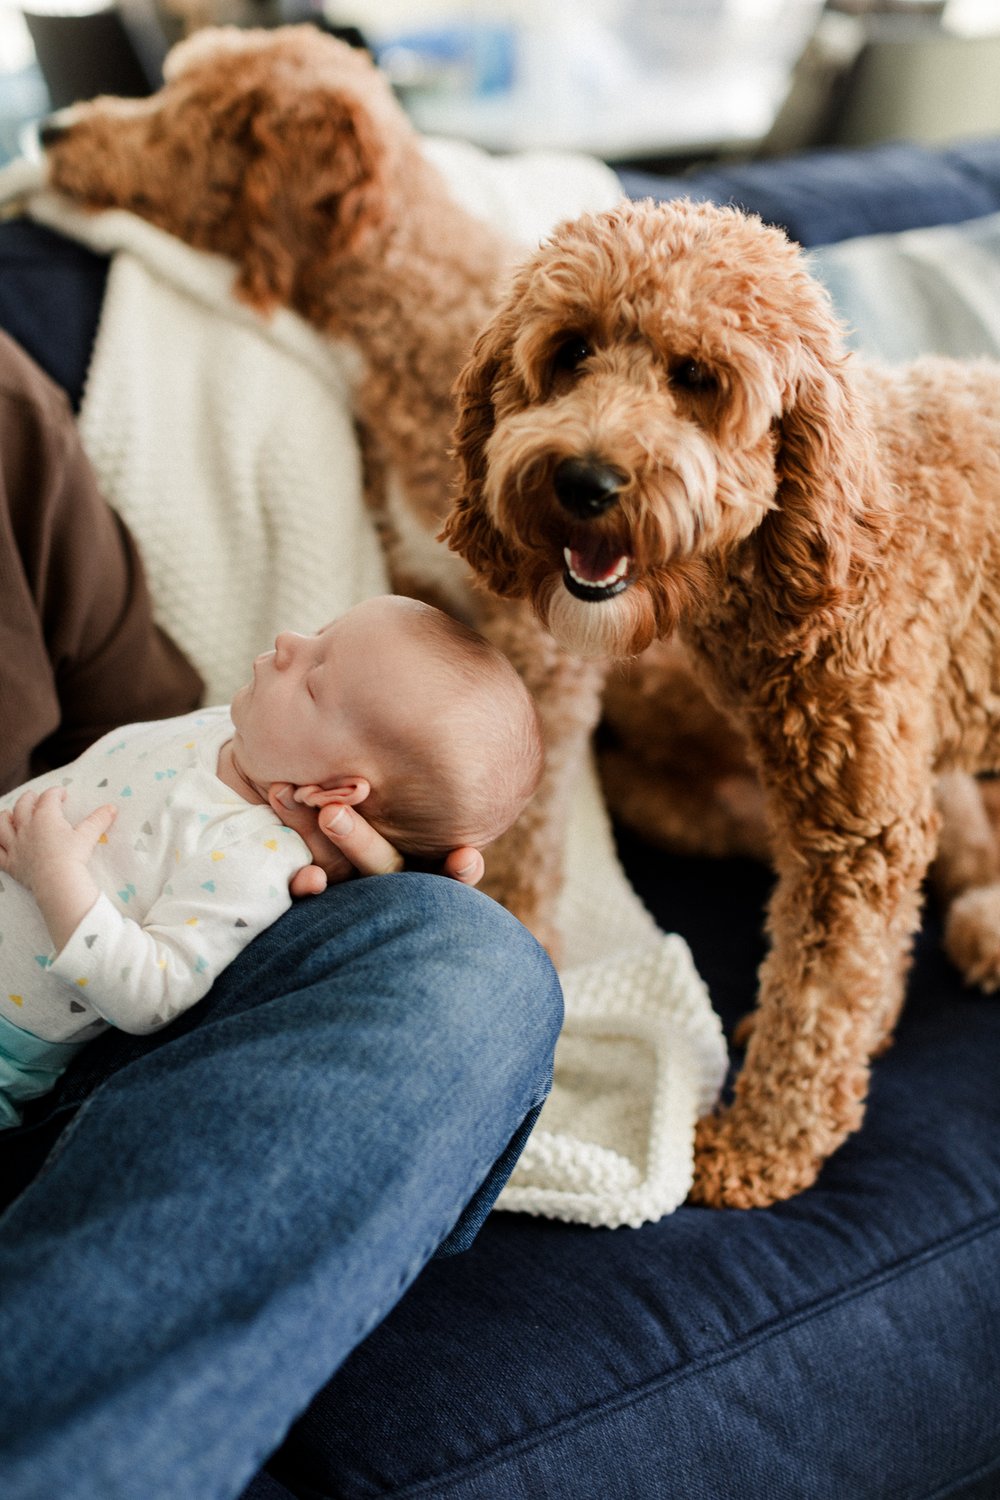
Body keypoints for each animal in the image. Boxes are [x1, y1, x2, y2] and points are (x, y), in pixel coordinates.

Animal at [446, 196, 1000, 1206]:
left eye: (697, 377)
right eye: (570, 352)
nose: (584, 481)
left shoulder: (857, 832)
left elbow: (817, 1002)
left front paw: (760, 1148)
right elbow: (855, 969)